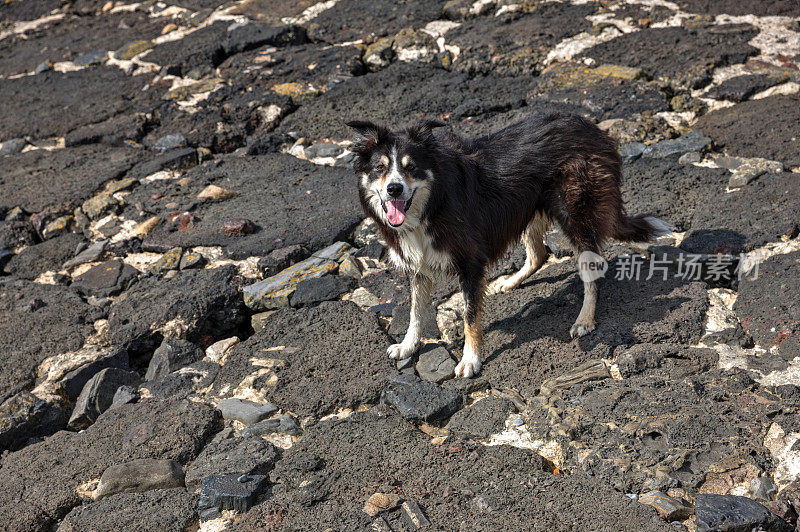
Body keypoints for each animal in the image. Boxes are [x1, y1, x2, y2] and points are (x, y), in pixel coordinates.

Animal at [348, 114, 668, 376]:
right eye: (380, 168)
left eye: (411, 167)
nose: (394, 189)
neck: (430, 206)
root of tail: (593, 129)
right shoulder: (418, 265)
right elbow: (416, 311)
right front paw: (407, 345)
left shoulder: (470, 262)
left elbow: (470, 315)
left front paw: (470, 359)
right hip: (527, 207)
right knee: (539, 254)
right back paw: (510, 281)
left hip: (574, 213)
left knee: (591, 270)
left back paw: (585, 319)